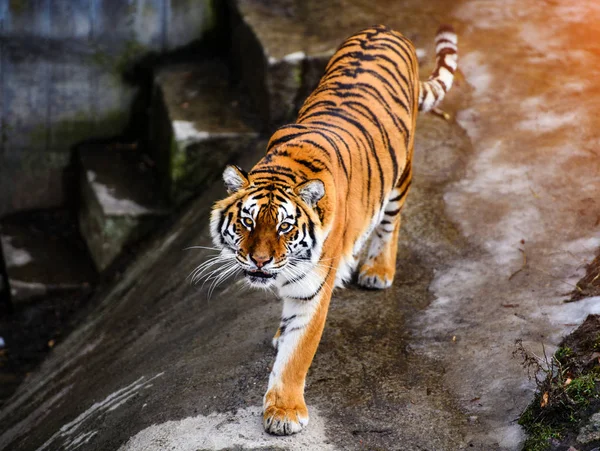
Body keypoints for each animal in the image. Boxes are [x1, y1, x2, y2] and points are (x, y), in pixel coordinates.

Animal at [209, 23, 458, 434]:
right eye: (247, 222)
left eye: (285, 227)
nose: (259, 262)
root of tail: (386, 28)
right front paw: (280, 338)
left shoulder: (313, 288)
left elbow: (297, 353)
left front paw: (284, 413)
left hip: (401, 173)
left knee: (390, 222)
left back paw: (377, 270)